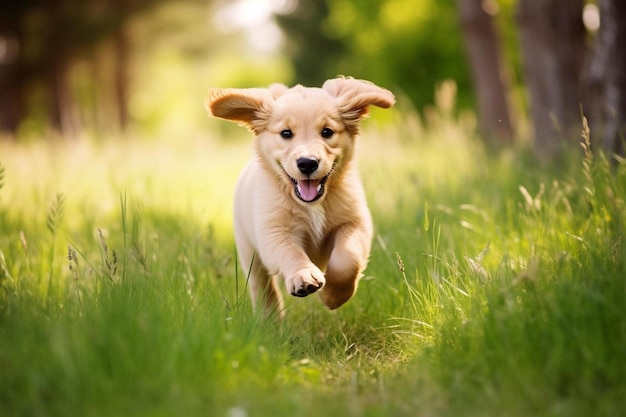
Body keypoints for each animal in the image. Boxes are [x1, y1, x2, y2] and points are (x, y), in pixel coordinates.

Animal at [205, 76, 392, 316]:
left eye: (327, 132)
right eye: (286, 133)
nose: (307, 163)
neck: (313, 204)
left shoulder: (355, 222)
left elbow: (347, 258)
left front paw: (332, 296)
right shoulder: (273, 232)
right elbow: (290, 252)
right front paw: (304, 276)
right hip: (248, 250)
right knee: (262, 286)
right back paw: (270, 318)